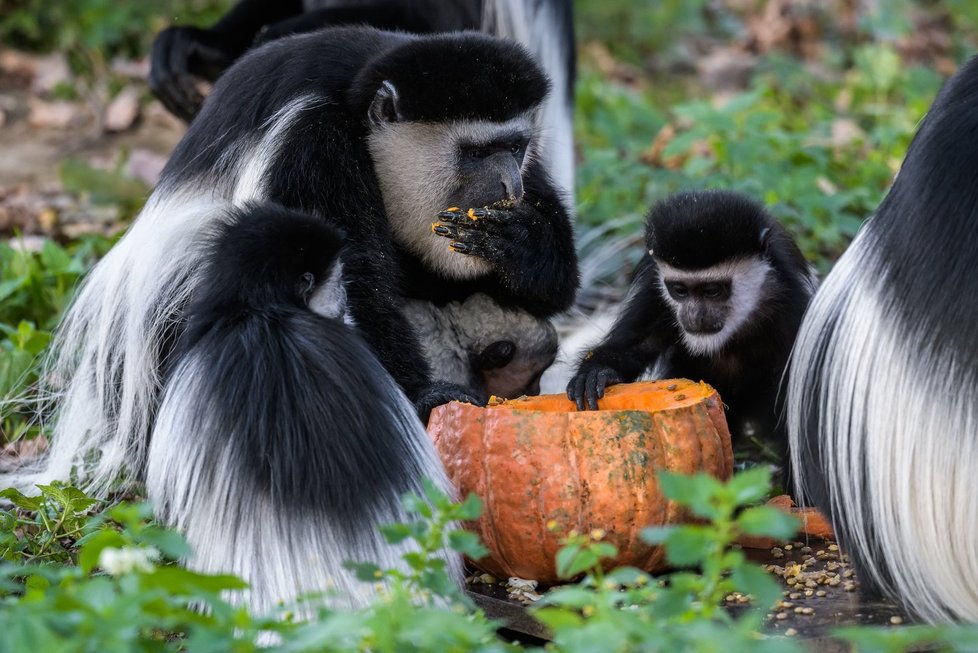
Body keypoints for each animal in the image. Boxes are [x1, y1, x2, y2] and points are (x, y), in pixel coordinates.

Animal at [564, 191, 816, 466]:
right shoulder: (654, 289)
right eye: (679, 290)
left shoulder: (790, 300)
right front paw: (596, 373)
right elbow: (637, 343)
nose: (693, 315)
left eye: (712, 290)